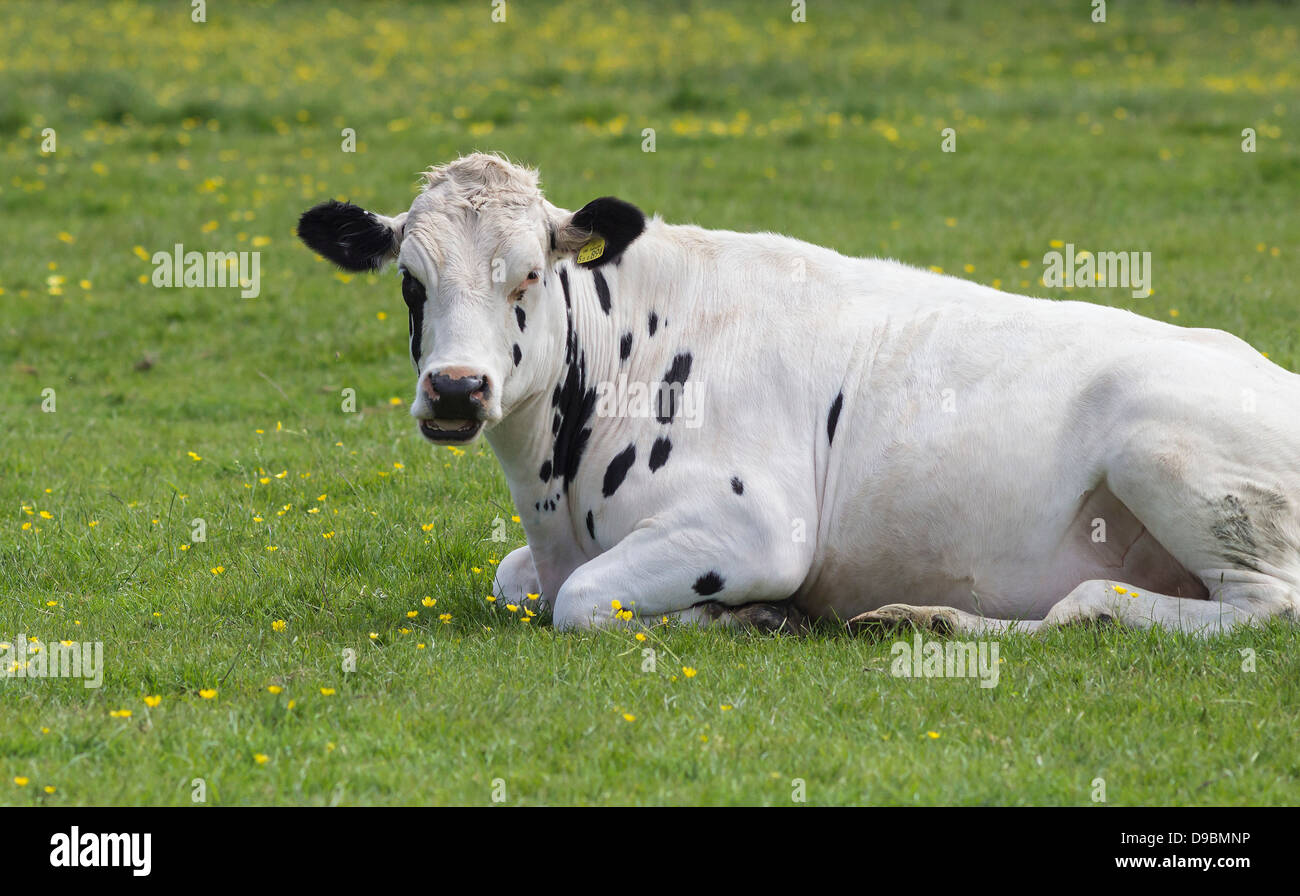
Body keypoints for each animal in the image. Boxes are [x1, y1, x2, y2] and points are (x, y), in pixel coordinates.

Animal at [298, 152, 1300, 637]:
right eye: (411, 283)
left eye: (530, 276)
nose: (457, 388)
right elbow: (517, 582)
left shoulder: (753, 529)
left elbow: (579, 601)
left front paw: (734, 617)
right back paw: (917, 617)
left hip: (1167, 454)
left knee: (1240, 606)